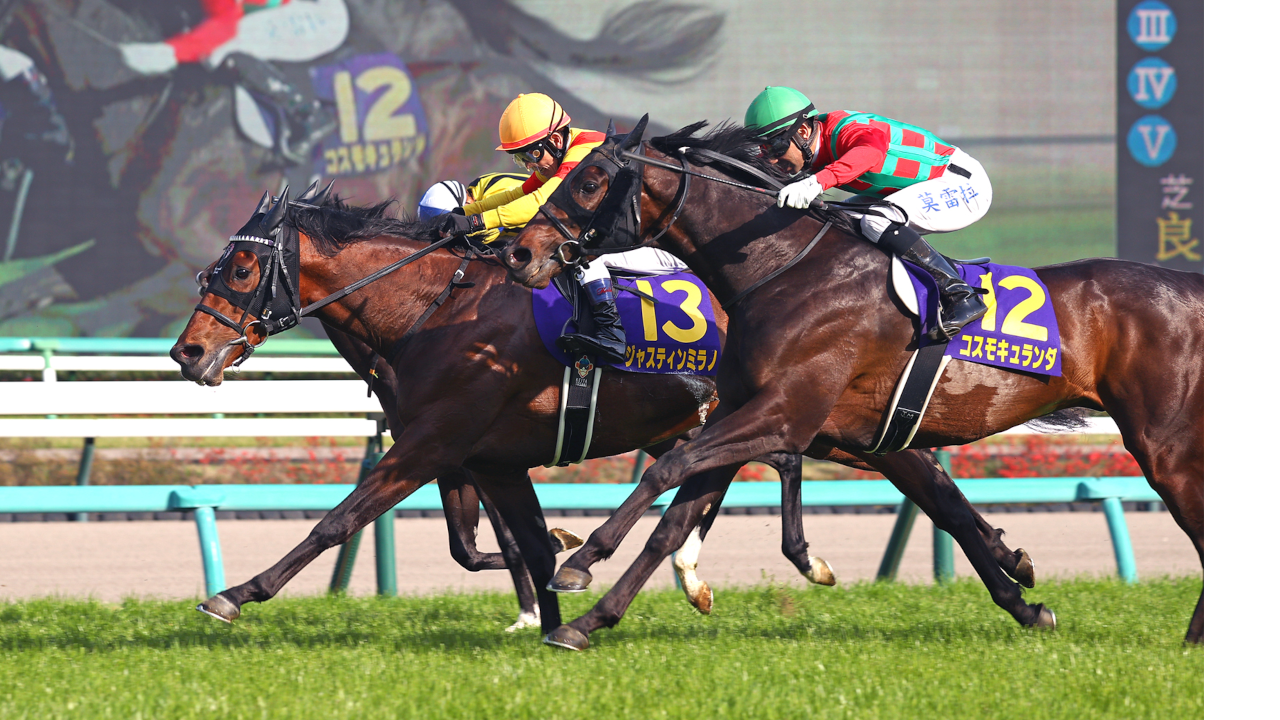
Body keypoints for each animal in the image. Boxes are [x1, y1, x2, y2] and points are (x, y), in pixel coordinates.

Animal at [169, 182, 1039, 637]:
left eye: (239, 267)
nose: (187, 353)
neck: (431, 310)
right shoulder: (484, 457)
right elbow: (494, 545)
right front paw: (551, 600)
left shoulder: (435, 441)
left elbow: (340, 520)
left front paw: (235, 592)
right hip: (836, 420)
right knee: (922, 477)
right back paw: (1013, 576)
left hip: (806, 412)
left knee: (880, 474)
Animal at [498, 118, 1205, 649]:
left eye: (591, 180)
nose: (520, 253)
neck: (783, 268)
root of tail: (1188, 285)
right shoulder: (754, 414)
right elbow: (676, 520)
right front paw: (588, 622)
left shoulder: (786, 414)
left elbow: (664, 471)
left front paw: (578, 564)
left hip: (1165, 443)